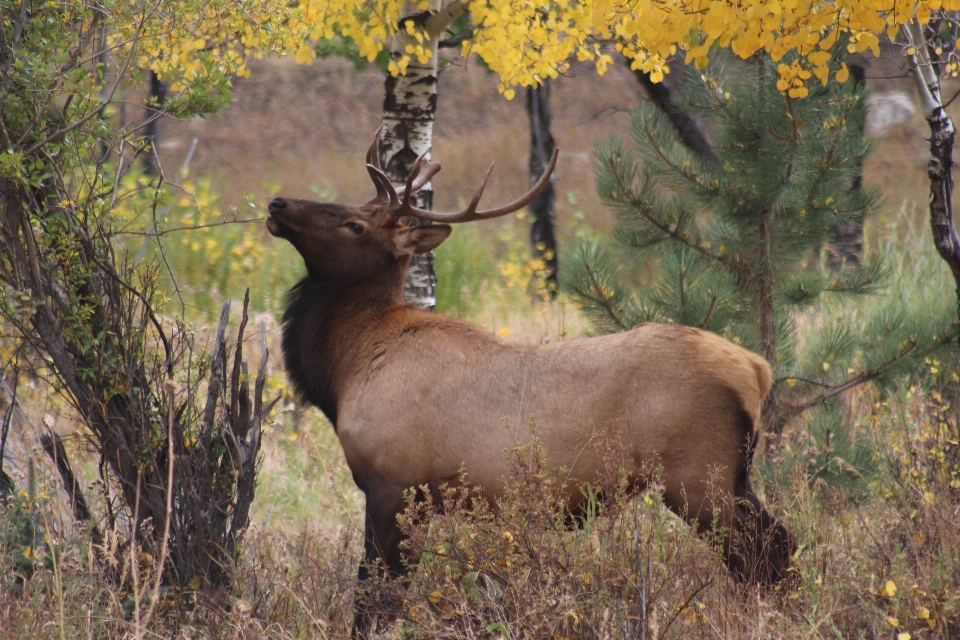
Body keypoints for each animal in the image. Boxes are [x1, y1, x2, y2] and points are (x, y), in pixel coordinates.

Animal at [266, 131, 800, 636]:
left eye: (354, 224)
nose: (278, 204)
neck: (347, 369)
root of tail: (758, 369)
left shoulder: (393, 483)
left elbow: (374, 595)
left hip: (699, 477)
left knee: (763, 552)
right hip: (731, 476)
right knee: (779, 546)